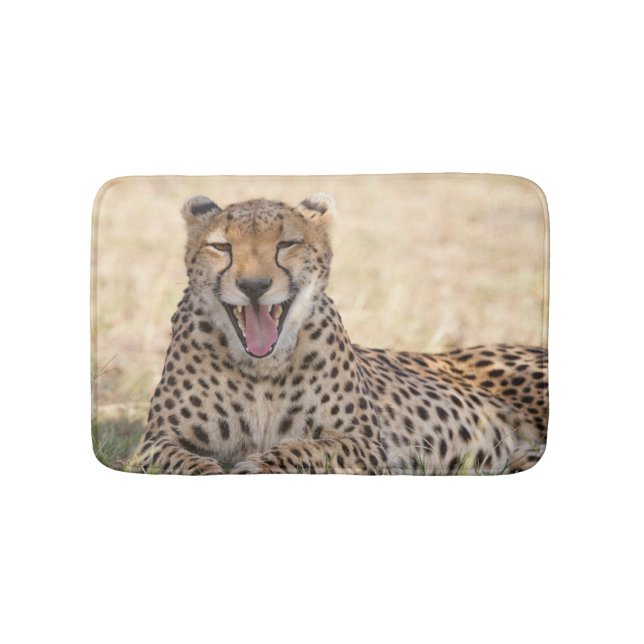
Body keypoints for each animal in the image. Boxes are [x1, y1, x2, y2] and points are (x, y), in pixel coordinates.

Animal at [130, 192, 548, 475]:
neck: (261, 370)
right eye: (221, 246)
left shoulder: (365, 443)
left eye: (287, 244)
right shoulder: (154, 443)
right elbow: (186, 462)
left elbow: (303, 450)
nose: (254, 286)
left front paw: (255, 466)